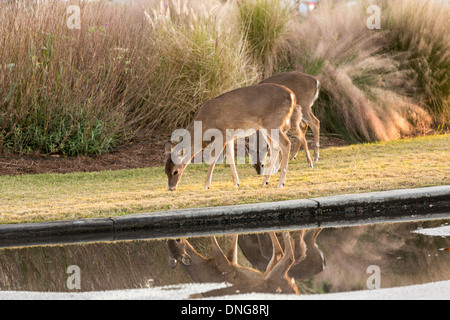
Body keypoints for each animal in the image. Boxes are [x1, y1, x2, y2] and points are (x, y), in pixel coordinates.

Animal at [163, 84, 298, 191]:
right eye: (165, 171)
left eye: (175, 171)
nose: (171, 188)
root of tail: (292, 96)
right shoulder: (229, 136)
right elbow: (230, 156)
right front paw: (236, 183)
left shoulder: (222, 133)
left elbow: (213, 157)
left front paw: (206, 185)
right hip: (265, 127)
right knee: (275, 147)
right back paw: (265, 181)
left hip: (273, 123)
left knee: (286, 144)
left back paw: (281, 183)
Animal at [167, 232, 300, 298]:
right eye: (178, 240)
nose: (176, 238)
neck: (204, 264)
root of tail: (296, 292)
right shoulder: (225, 266)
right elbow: (215, 245)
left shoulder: (231, 262)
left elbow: (232, 246)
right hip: (274, 278)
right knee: (286, 256)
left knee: (279, 253)